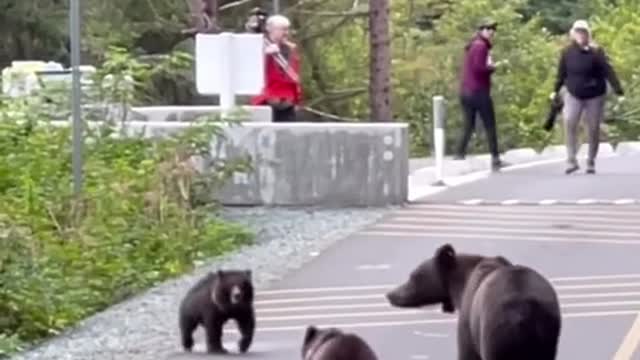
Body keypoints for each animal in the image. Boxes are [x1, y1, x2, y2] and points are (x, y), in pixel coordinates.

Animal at [384, 243, 560, 358]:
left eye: (412, 276)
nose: (390, 294)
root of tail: (527, 311)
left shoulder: (469, 322)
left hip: (495, 331)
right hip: (547, 335)